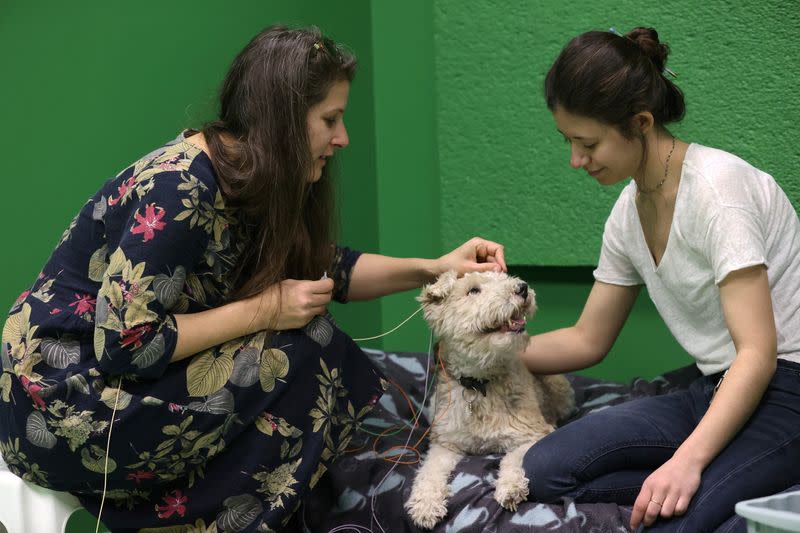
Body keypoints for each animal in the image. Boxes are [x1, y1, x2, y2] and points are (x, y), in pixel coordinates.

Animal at [406, 270, 576, 528]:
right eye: (473, 290)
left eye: (503, 277)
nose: (522, 288)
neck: (479, 384)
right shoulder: (444, 443)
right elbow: (429, 470)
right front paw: (425, 504)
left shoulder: (534, 433)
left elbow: (514, 458)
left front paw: (511, 487)